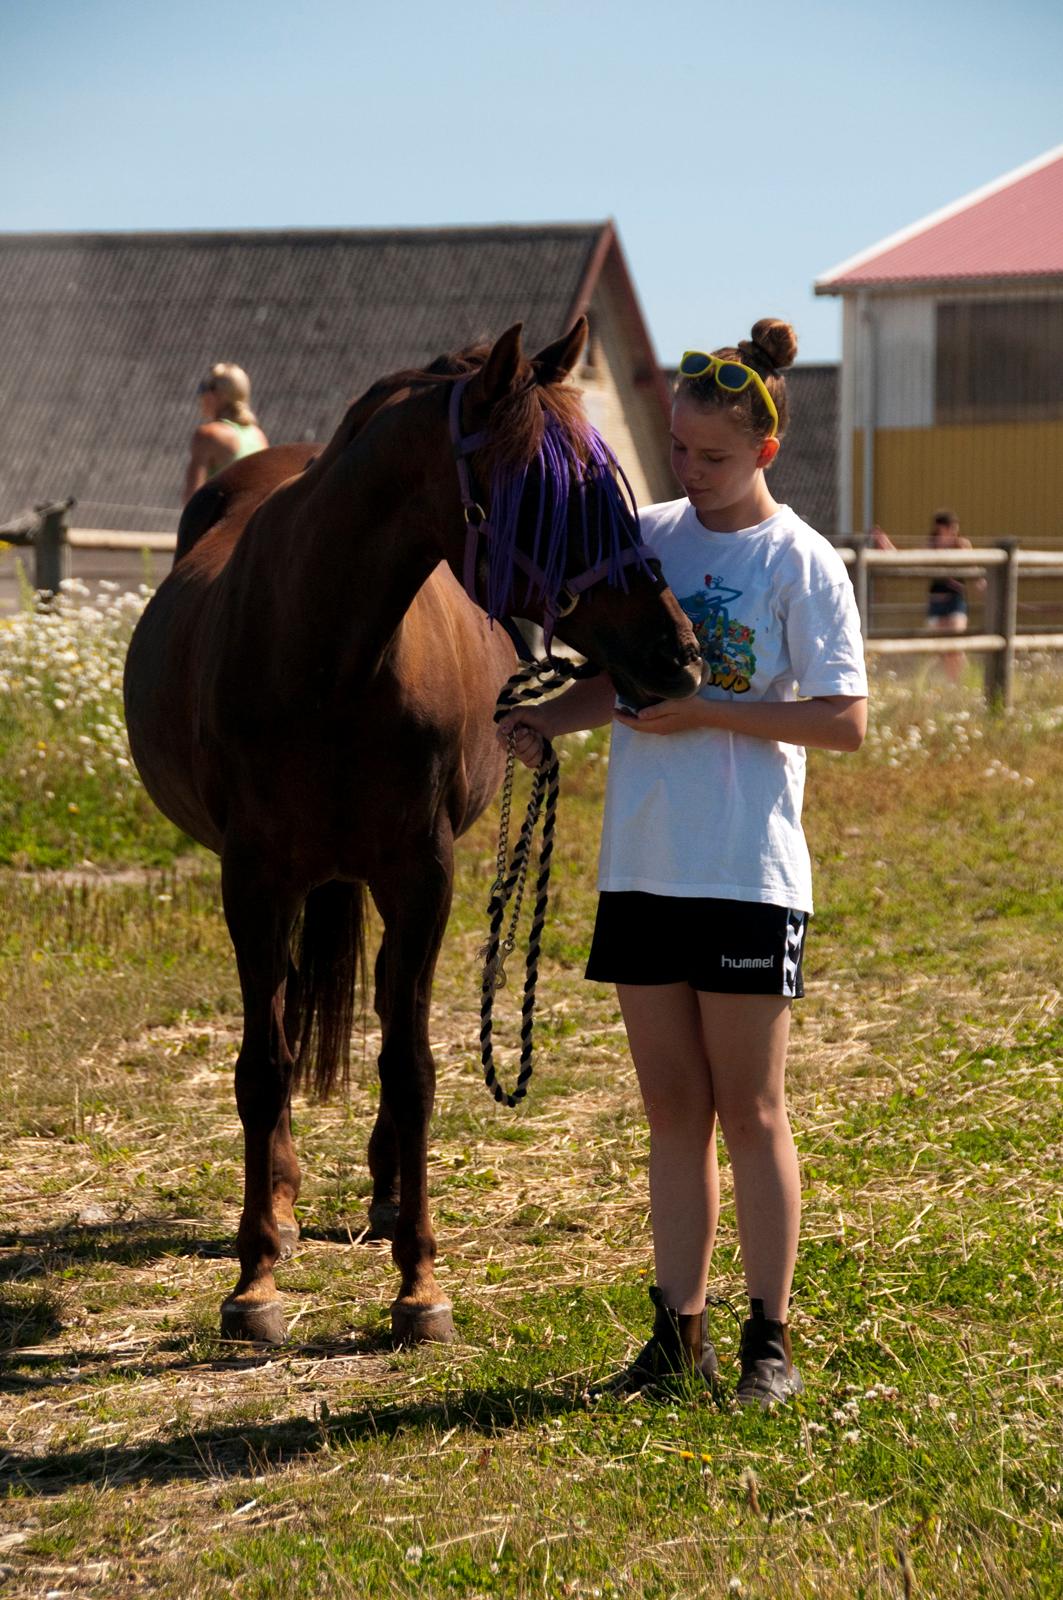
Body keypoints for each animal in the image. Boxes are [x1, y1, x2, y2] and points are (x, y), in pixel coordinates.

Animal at [124, 318, 701, 1344]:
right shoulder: (253, 881)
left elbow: (411, 1064)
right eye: (548, 496)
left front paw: (418, 1282)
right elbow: (261, 1064)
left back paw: (388, 1195)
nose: (675, 653)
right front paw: (255, 1279)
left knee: (394, 1022)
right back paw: (281, 1205)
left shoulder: (422, 876)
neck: (324, 655)